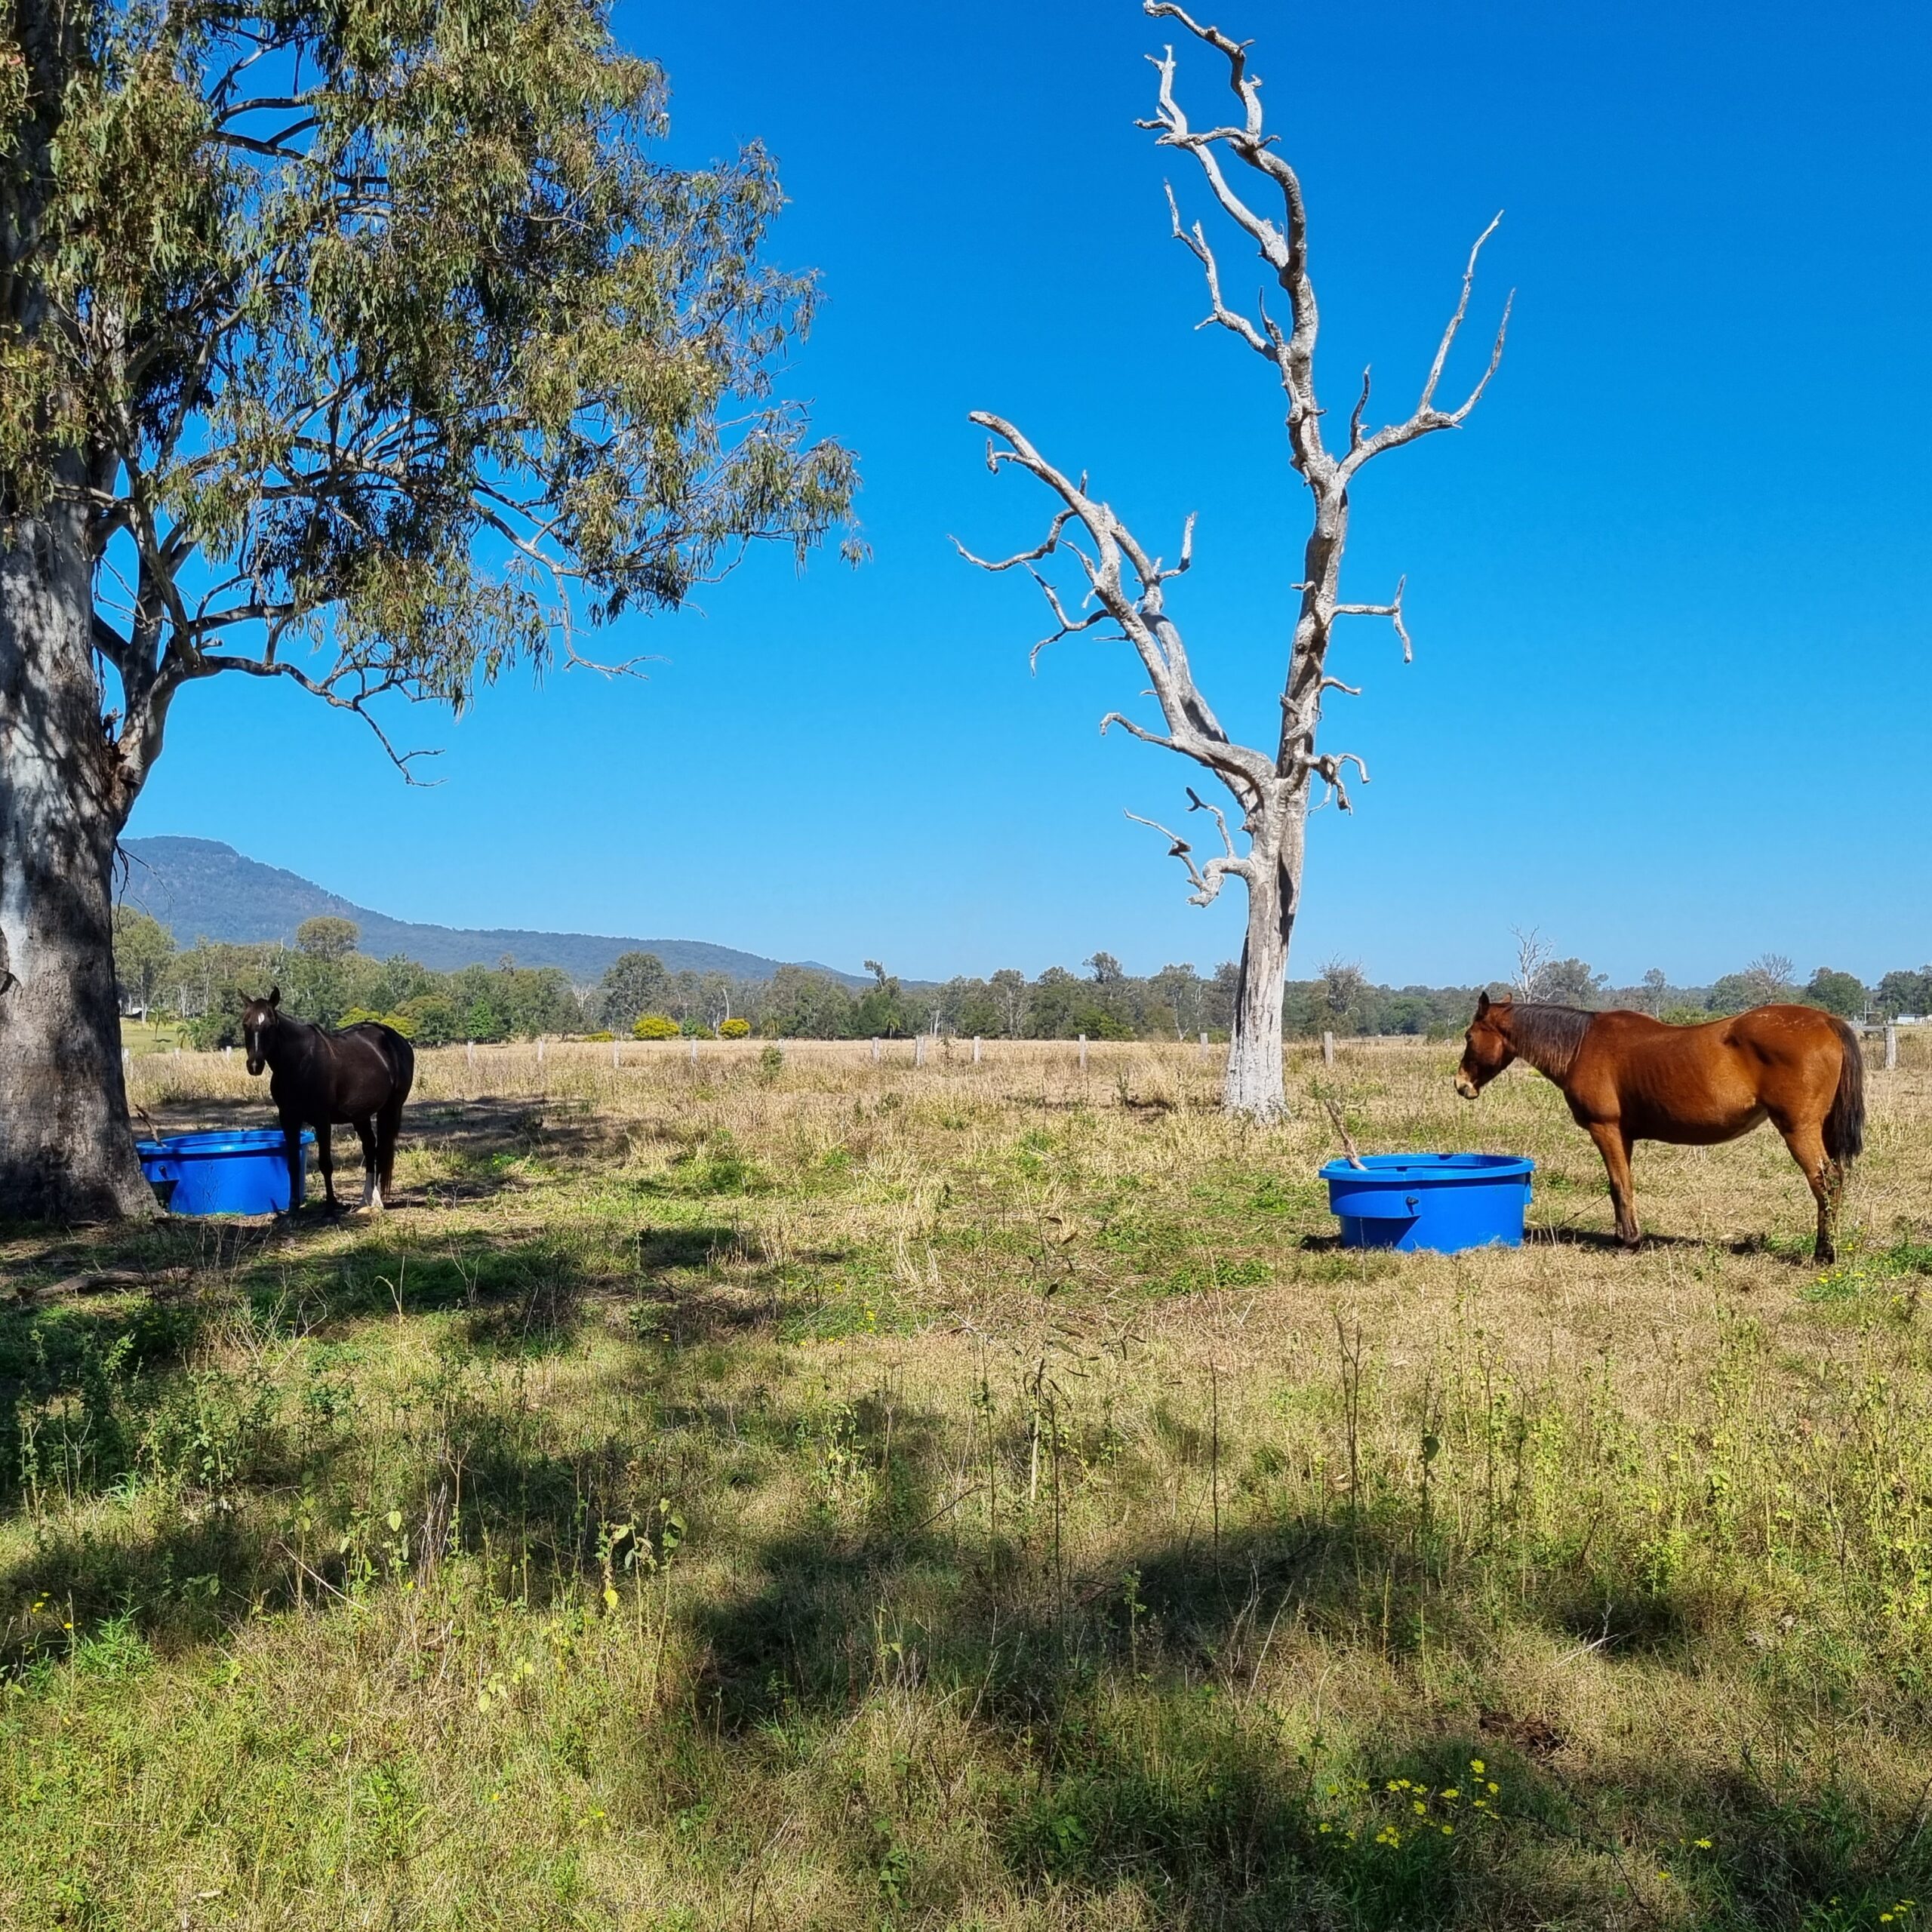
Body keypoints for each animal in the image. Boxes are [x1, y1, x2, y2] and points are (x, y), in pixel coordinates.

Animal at [242, 989, 415, 1213]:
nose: (255, 1065)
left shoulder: (322, 1121)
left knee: (381, 1149)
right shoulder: (288, 1119)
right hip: (360, 1114)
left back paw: (376, 1201)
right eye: (245, 1024)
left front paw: (331, 1205)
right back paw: (365, 1200)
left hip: (391, 1108)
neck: (300, 1063)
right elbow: (293, 1164)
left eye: (270, 1025)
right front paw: (294, 1206)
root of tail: (398, 1041)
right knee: (370, 1146)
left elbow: (326, 1164)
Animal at [1453, 996, 1862, 1267]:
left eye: (1470, 1036)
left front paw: (1630, 1241)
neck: (1582, 1045)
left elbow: (1620, 1184)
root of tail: (1826, 1021)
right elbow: (1620, 1185)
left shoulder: (1606, 1129)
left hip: (1798, 1130)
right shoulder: (1624, 1136)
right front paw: (1623, 1236)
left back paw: (1824, 1253)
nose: (1461, 1085)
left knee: (1825, 1181)